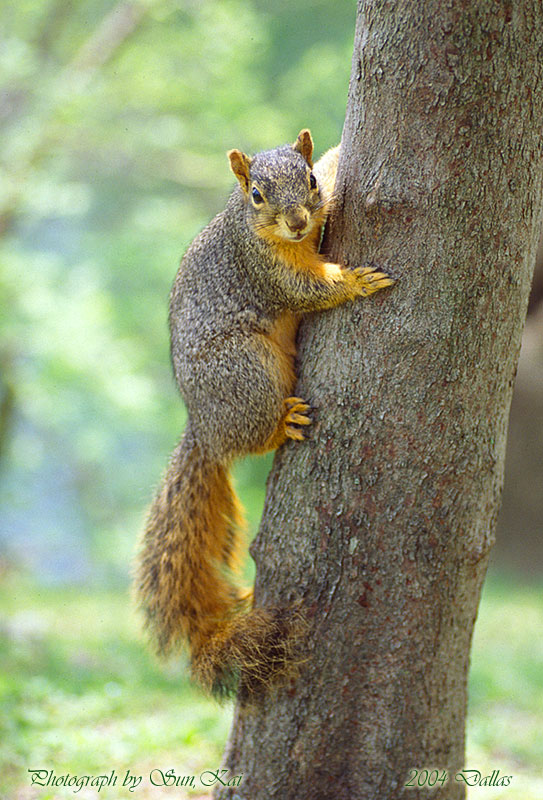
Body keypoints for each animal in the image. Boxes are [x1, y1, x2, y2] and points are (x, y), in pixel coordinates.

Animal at [134, 130, 394, 700]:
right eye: (256, 195)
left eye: (310, 180)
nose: (296, 220)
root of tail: (206, 431)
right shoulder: (261, 265)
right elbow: (305, 289)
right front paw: (354, 282)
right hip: (245, 369)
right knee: (255, 433)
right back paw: (280, 425)